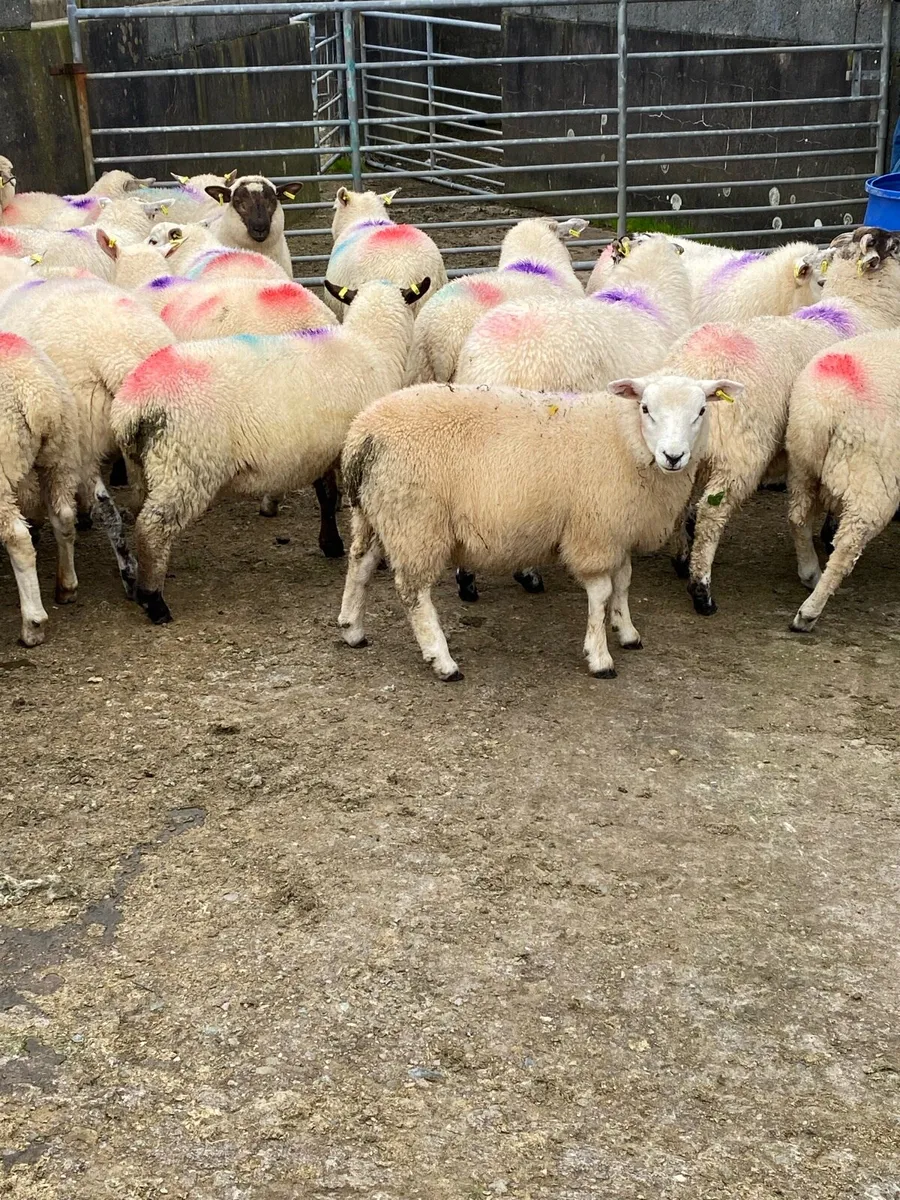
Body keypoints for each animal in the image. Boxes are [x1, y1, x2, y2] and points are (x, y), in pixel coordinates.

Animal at [0, 332, 79, 646]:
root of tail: (37, 397)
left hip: (3, 468)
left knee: (18, 538)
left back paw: (32, 624)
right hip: (61, 453)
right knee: (64, 517)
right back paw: (67, 586)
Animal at [110, 276, 427, 624]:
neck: (372, 347)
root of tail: (132, 405)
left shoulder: (323, 450)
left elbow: (326, 495)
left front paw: (330, 543)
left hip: (144, 466)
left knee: (140, 516)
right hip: (185, 465)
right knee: (152, 526)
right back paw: (153, 601)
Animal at [336, 374, 741, 682]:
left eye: (701, 411)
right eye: (646, 408)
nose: (674, 456)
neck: (626, 439)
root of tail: (361, 433)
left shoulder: (617, 529)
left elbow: (624, 582)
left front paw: (626, 632)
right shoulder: (594, 531)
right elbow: (601, 592)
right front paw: (599, 656)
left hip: (377, 512)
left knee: (360, 563)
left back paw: (352, 628)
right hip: (415, 521)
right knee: (413, 593)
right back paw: (443, 661)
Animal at [673, 226, 900, 616]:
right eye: (897, 246)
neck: (862, 304)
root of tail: (696, 369)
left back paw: (680, 559)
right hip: (741, 454)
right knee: (711, 515)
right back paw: (702, 590)